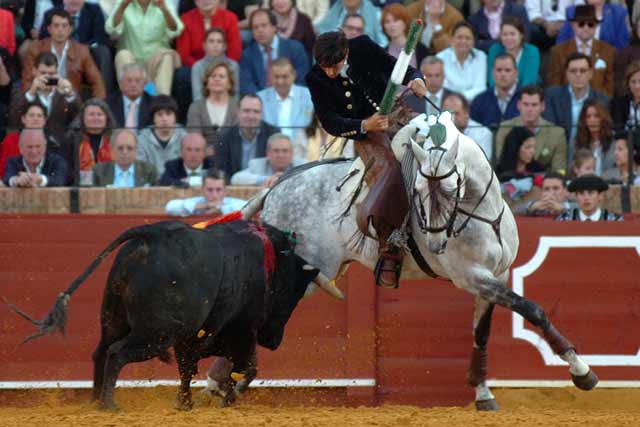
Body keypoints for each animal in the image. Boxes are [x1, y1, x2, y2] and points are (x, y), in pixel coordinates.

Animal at [7, 221, 320, 412]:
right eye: (295, 291)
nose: (274, 340)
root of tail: (153, 234)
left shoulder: (196, 337)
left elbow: (187, 369)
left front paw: (186, 404)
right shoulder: (241, 331)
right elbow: (247, 368)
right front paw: (226, 399)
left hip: (115, 319)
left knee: (101, 352)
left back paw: (95, 401)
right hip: (157, 334)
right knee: (117, 353)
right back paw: (109, 405)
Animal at [242, 111, 596, 412]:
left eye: (453, 187)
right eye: (418, 190)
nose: (437, 243)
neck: (481, 212)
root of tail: (276, 188)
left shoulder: (497, 275)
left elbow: (482, 332)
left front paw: (483, 394)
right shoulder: (471, 276)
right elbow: (532, 310)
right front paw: (581, 371)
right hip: (303, 274)